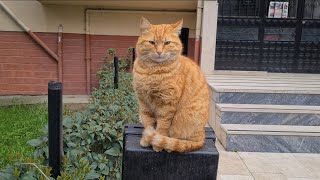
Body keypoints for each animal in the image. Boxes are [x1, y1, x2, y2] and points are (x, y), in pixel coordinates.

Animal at [132, 16, 210, 153]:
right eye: (152, 42)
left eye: (167, 43)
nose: (159, 52)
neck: (152, 71)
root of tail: (202, 137)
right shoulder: (144, 103)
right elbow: (148, 124)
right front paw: (146, 140)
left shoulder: (167, 104)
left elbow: (162, 127)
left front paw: (157, 144)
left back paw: (168, 146)